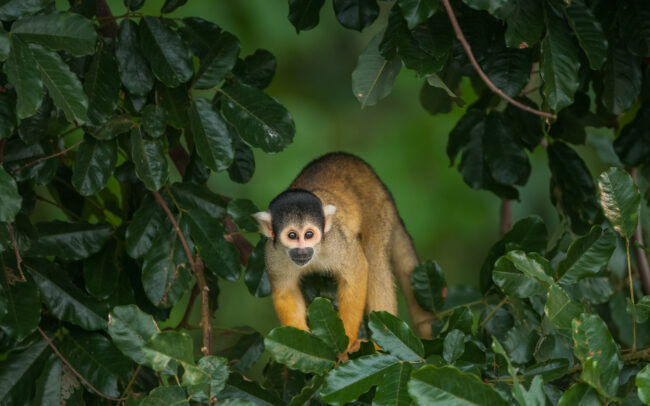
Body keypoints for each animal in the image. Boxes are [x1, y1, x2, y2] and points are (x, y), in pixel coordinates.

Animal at [253, 152, 433, 351]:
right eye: (292, 235)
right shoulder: (272, 254)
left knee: (375, 257)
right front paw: (299, 339)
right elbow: (286, 293)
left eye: (309, 234)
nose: (302, 251)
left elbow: (356, 272)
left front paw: (346, 342)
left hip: (379, 209)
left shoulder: (336, 242)